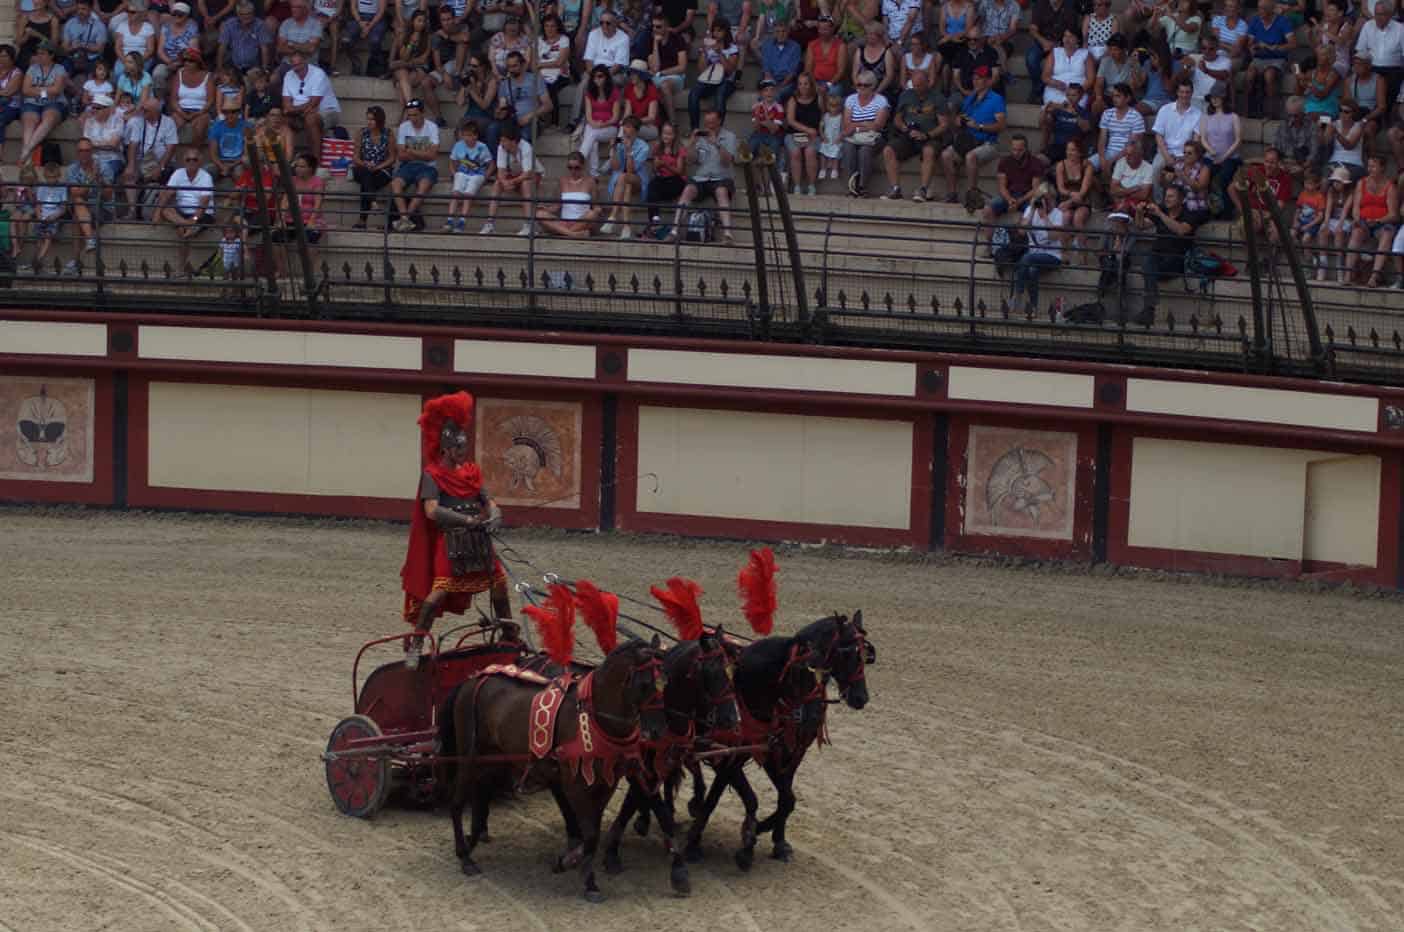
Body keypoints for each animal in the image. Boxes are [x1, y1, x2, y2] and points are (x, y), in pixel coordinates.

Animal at [443, 637, 673, 898]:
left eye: (667, 681)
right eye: (645, 684)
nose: (657, 731)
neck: (593, 717)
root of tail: (472, 680)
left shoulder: (607, 782)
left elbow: (592, 831)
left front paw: (570, 863)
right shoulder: (574, 783)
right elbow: (589, 834)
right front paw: (587, 881)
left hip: (493, 759)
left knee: (480, 795)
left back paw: (472, 841)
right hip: (469, 755)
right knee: (456, 802)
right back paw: (465, 856)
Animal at [598, 628, 741, 892]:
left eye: (731, 670)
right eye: (710, 671)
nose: (731, 719)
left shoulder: (664, 761)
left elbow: (640, 800)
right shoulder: (641, 768)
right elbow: (644, 803)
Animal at [682, 611, 876, 864]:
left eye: (865, 654)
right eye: (845, 653)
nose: (861, 697)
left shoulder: (789, 752)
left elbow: (787, 799)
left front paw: (774, 838)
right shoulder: (737, 755)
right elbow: (722, 797)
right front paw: (698, 843)